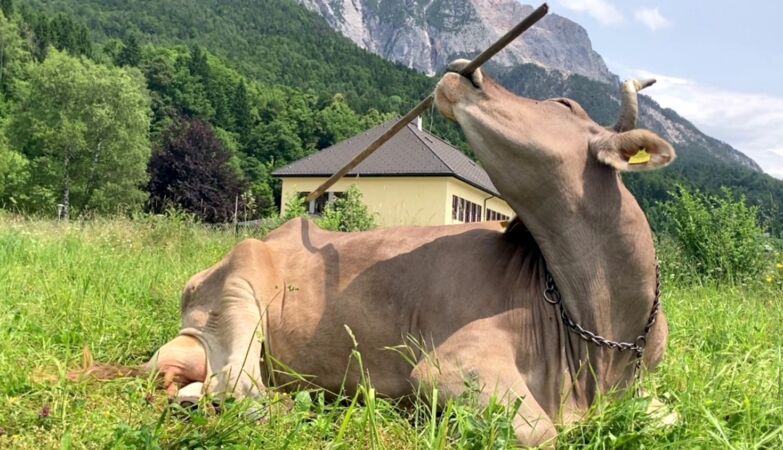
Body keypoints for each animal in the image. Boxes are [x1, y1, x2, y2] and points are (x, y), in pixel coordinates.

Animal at [76, 60, 675, 447]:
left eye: (562, 103)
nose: (466, 69)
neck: (599, 336)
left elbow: (666, 419)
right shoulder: (449, 365)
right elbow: (541, 432)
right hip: (239, 290)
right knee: (241, 391)